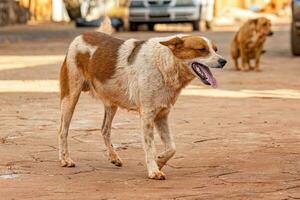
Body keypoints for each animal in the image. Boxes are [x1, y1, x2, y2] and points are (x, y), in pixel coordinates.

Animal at [58, 23, 227, 180]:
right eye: (202, 49)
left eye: (215, 49)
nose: (224, 61)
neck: (164, 65)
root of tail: (82, 35)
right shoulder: (147, 115)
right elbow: (150, 146)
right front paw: (153, 171)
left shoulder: (162, 114)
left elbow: (172, 147)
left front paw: (159, 161)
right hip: (70, 97)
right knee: (62, 131)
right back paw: (65, 159)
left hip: (111, 102)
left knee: (104, 129)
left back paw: (113, 157)